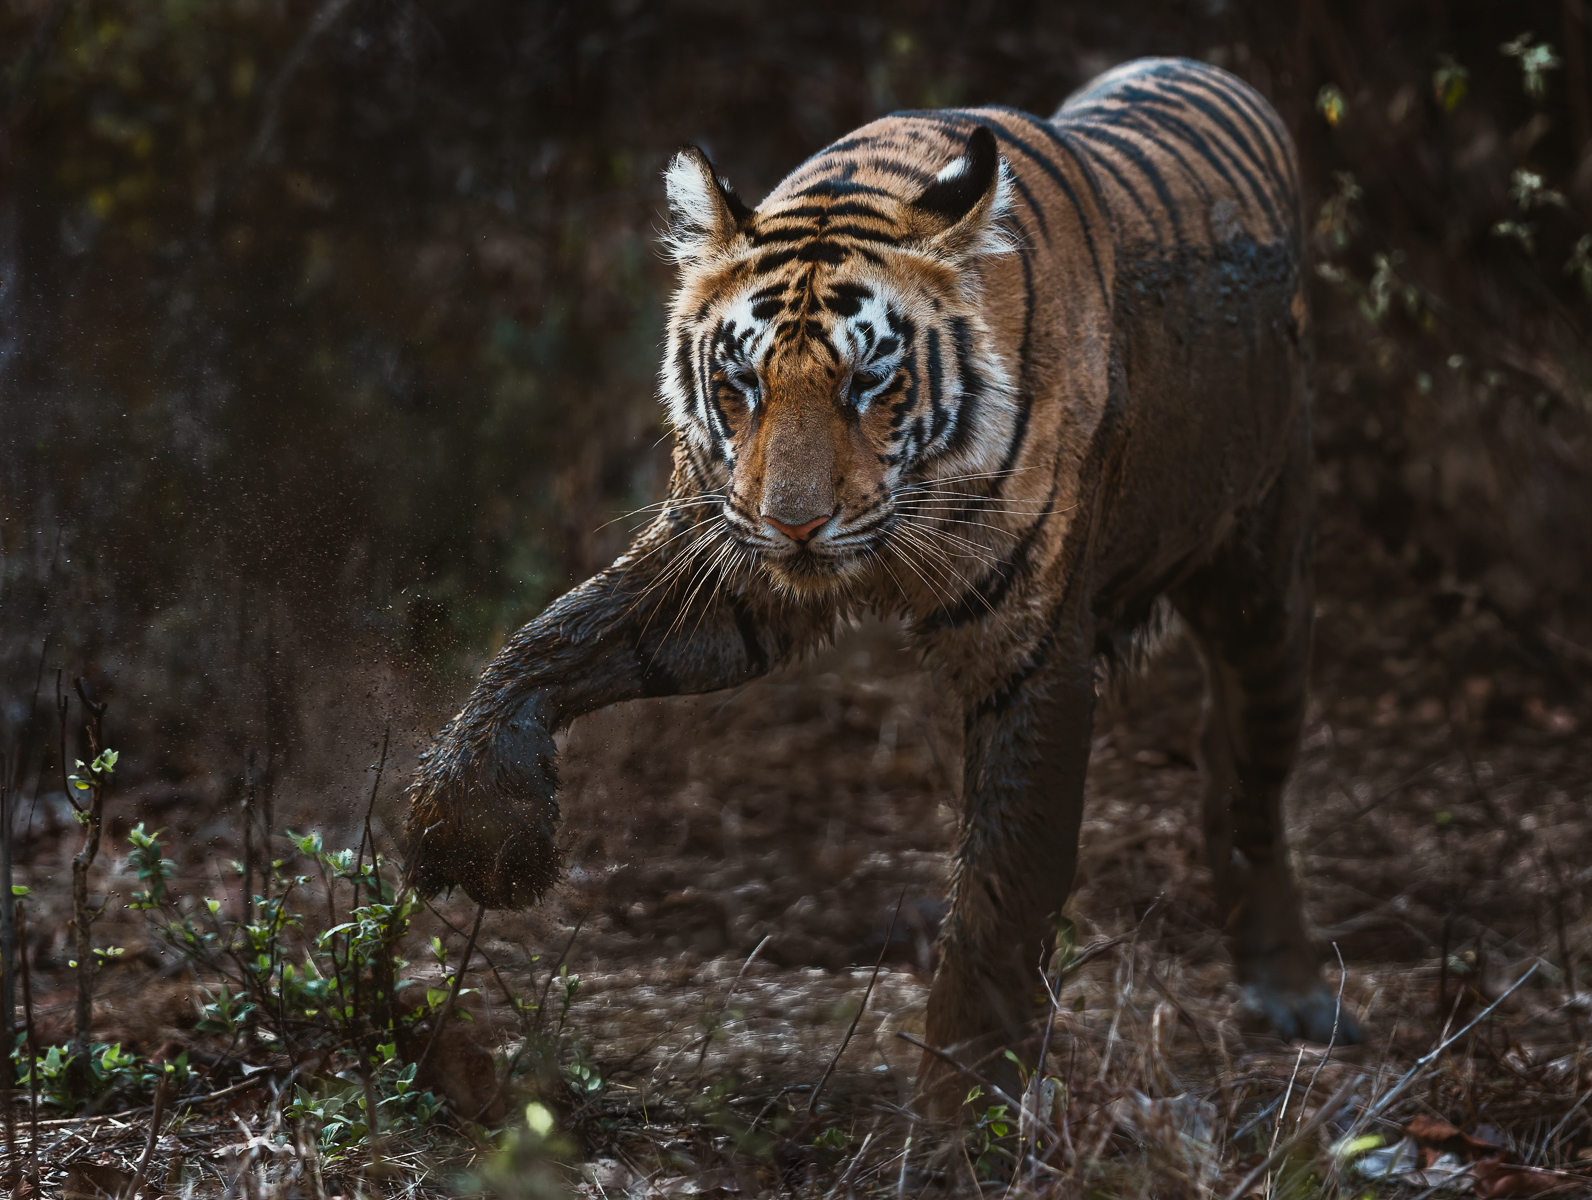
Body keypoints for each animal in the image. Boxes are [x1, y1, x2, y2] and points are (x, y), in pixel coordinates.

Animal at [406, 56, 1361, 1102]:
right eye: (742, 385)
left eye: (869, 382)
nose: (795, 522)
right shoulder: (726, 575)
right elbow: (550, 640)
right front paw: (475, 826)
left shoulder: (1034, 653)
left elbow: (1005, 887)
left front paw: (965, 1103)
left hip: (1267, 583)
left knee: (1247, 780)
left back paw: (1292, 995)